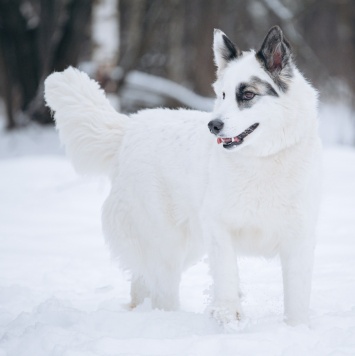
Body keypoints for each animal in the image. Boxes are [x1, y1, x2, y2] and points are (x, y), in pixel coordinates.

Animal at [45, 25, 322, 326]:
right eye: (222, 95)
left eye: (247, 95)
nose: (213, 125)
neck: (262, 160)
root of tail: (130, 127)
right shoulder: (218, 228)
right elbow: (226, 275)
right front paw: (228, 316)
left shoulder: (299, 237)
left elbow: (297, 296)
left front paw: (296, 327)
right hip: (167, 244)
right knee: (160, 291)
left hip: (188, 245)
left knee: (141, 284)